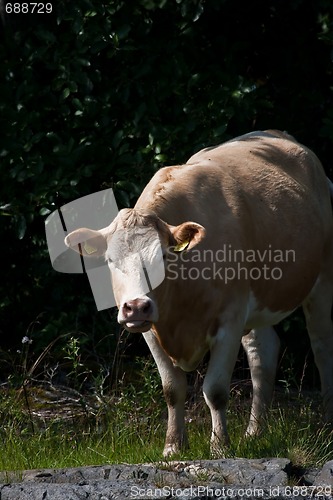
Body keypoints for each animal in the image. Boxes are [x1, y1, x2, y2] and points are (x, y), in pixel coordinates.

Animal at [64, 130, 332, 458]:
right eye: (111, 261)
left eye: (162, 257)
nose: (136, 307)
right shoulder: (152, 329)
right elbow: (172, 388)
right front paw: (173, 446)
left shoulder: (229, 319)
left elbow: (215, 390)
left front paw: (220, 447)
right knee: (263, 353)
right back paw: (254, 432)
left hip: (323, 278)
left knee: (322, 347)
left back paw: (327, 423)